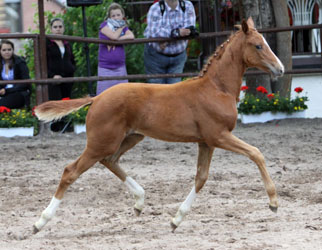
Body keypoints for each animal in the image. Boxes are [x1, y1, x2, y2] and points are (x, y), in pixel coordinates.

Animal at [33, 17, 284, 232]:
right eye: (258, 46)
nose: (280, 69)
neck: (216, 88)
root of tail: (97, 98)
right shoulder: (219, 136)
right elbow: (256, 153)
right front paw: (273, 202)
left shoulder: (206, 142)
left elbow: (201, 178)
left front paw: (176, 220)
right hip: (101, 142)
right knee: (71, 171)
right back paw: (40, 222)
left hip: (130, 137)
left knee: (110, 160)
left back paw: (139, 202)